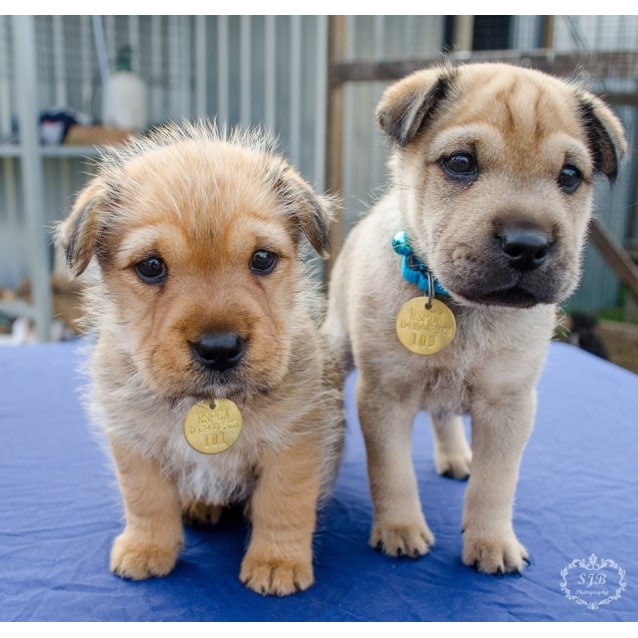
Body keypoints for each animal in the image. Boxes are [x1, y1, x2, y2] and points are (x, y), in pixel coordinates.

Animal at [56, 122, 344, 596]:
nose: (220, 348)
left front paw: (277, 560)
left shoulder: (294, 443)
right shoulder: (134, 443)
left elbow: (283, 506)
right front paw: (146, 548)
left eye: (262, 259)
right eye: (151, 266)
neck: (209, 400)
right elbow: (145, 502)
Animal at [324, 62, 632, 576]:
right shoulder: (385, 396)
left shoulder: (509, 405)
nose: (527, 245)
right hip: (341, 344)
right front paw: (400, 528)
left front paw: (492, 540)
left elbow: (496, 482)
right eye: (460, 163)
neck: (462, 306)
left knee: (444, 417)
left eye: (570, 176)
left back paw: (455, 456)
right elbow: (392, 472)